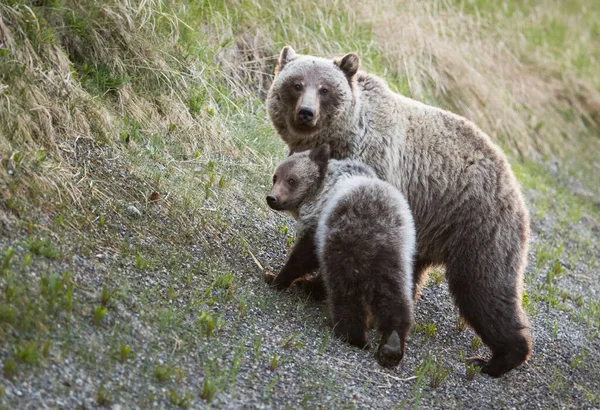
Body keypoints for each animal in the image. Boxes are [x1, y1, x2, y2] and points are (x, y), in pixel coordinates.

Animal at [266, 45, 528, 378]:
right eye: (296, 84)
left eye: (324, 89)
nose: (306, 113)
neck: (340, 137)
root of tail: (513, 184)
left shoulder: (373, 164)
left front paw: (300, 280)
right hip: (430, 228)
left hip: (477, 223)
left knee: (483, 286)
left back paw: (497, 358)